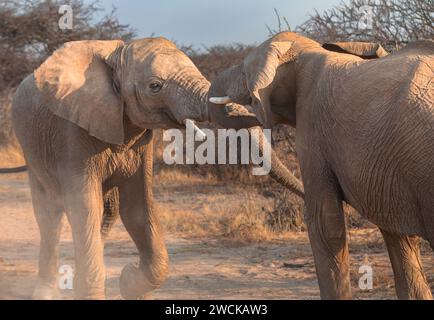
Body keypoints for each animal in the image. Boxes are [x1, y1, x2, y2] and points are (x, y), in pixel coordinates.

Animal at [10, 37, 306, 300]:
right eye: (155, 86)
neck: (116, 55)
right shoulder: (71, 132)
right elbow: (85, 208)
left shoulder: (140, 143)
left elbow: (138, 208)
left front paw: (129, 281)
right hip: (31, 148)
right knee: (50, 214)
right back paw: (47, 292)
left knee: (107, 211)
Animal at [208, 31, 434, 298]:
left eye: (244, 71)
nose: (243, 109)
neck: (306, 49)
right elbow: (399, 236)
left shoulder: (312, 126)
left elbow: (324, 223)